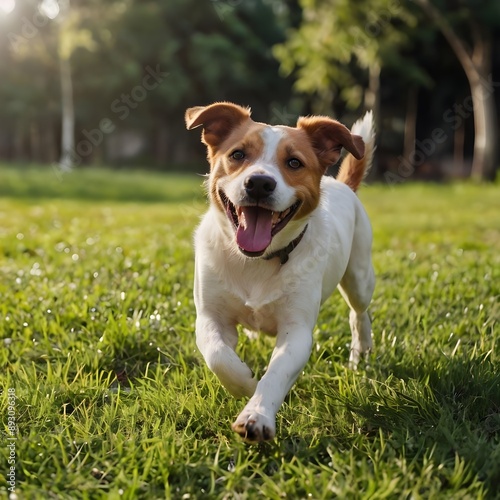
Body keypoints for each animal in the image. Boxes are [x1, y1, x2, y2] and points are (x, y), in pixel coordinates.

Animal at [186, 101, 374, 442]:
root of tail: (343, 185)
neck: (257, 261)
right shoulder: (210, 315)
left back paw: (360, 353)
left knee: (359, 313)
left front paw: (256, 414)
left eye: (294, 162)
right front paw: (245, 382)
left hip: (359, 276)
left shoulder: (297, 331)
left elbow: (276, 373)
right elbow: (218, 354)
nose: (259, 183)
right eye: (237, 154)